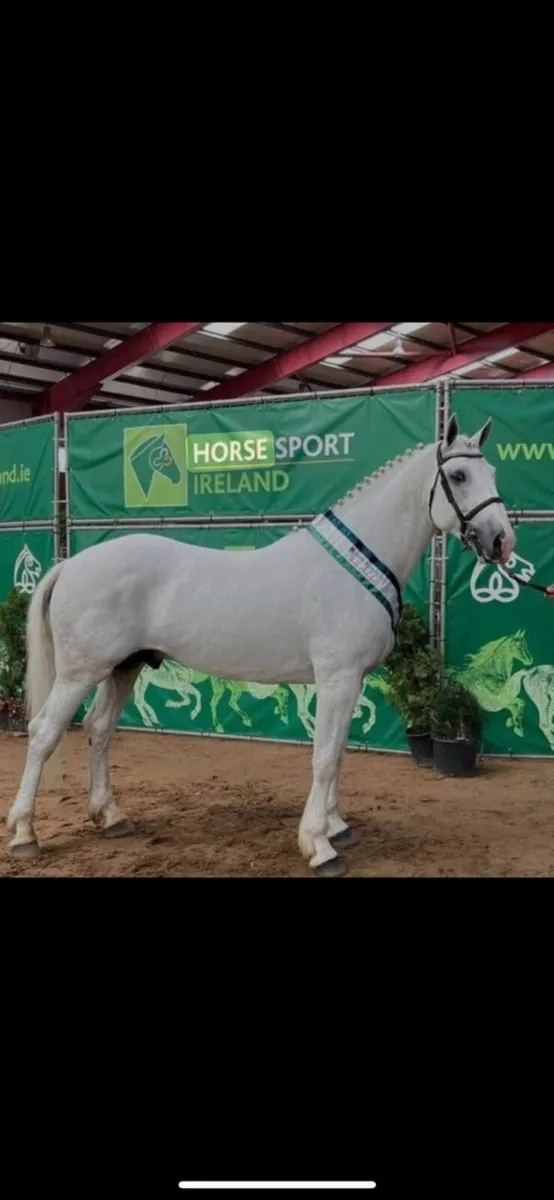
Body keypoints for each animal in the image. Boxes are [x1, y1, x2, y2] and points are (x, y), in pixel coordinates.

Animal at [7, 413, 515, 876]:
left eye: (492, 473)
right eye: (458, 475)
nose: (501, 541)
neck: (355, 566)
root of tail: (71, 564)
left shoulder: (349, 682)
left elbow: (339, 752)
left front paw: (336, 827)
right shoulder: (337, 679)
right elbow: (325, 757)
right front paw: (319, 845)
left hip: (123, 667)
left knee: (100, 730)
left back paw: (110, 817)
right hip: (80, 672)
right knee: (44, 732)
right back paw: (24, 834)